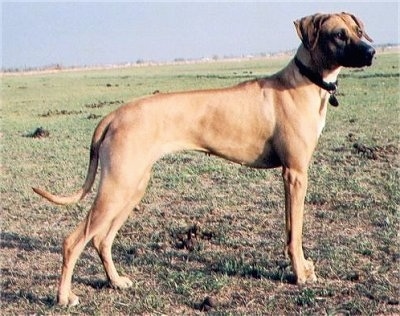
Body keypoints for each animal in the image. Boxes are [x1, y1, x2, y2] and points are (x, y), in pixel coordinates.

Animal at [33, 12, 376, 306]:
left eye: (358, 30)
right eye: (338, 35)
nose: (372, 52)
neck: (304, 81)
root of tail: (114, 115)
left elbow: (294, 230)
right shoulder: (294, 174)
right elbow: (296, 233)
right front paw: (301, 274)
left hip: (132, 186)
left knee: (101, 239)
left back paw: (115, 281)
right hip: (117, 186)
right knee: (73, 241)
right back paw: (64, 297)